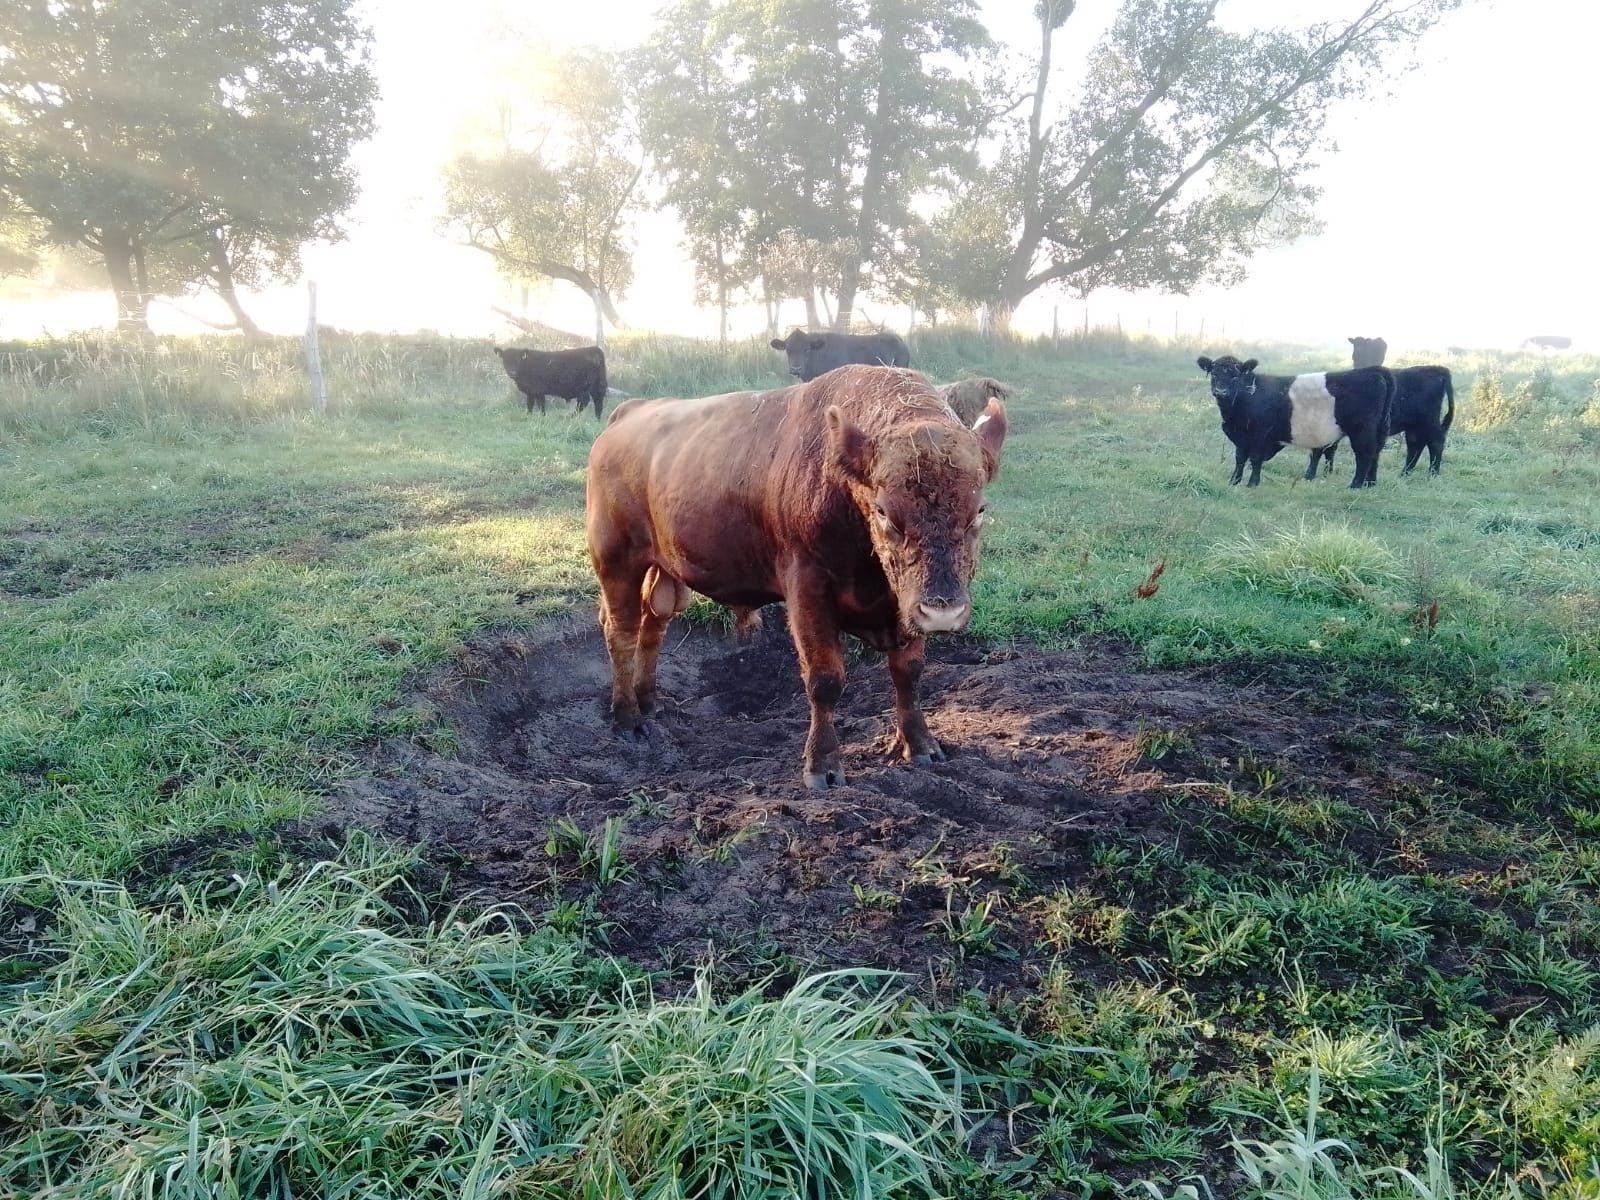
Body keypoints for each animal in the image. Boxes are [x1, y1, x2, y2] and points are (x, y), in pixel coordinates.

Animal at [582, 371, 1004, 793]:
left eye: (980, 509)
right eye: (884, 511)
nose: (943, 611)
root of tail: (627, 414)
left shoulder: (904, 605)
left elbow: (909, 673)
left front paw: (921, 745)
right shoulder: (808, 592)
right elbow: (825, 679)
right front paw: (823, 766)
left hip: (666, 569)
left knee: (654, 624)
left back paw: (649, 702)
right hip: (616, 562)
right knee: (621, 631)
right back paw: (628, 719)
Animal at [1196, 355, 1395, 489]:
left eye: (1235, 376)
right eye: (1214, 373)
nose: (1220, 391)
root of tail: (1373, 370)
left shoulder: (1260, 433)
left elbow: (1255, 458)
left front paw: (1252, 483)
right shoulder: (1241, 436)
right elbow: (1240, 458)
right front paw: (1234, 481)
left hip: (1362, 430)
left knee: (1365, 454)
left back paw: (1355, 485)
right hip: (1379, 430)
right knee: (1376, 453)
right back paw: (1370, 483)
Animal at [1305, 366, 1459, 480]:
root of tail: (1437, 369)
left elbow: (1319, 450)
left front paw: (1309, 475)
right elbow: (1329, 450)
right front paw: (1326, 473)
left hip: (1428, 422)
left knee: (1435, 442)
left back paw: (1432, 474)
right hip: (1414, 426)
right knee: (1416, 446)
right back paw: (1404, 474)